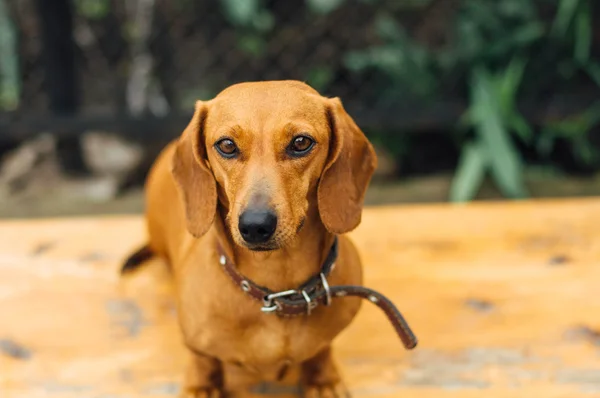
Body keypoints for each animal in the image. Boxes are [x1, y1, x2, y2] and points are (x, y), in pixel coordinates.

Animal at [121, 81, 376, 398]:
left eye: (301, 142)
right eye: (227, 145)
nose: (255, 226)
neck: (276, 293)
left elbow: (320, 351)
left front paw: (322, 380)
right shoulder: (198, 346)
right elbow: (203, 361)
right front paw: (201, 386)